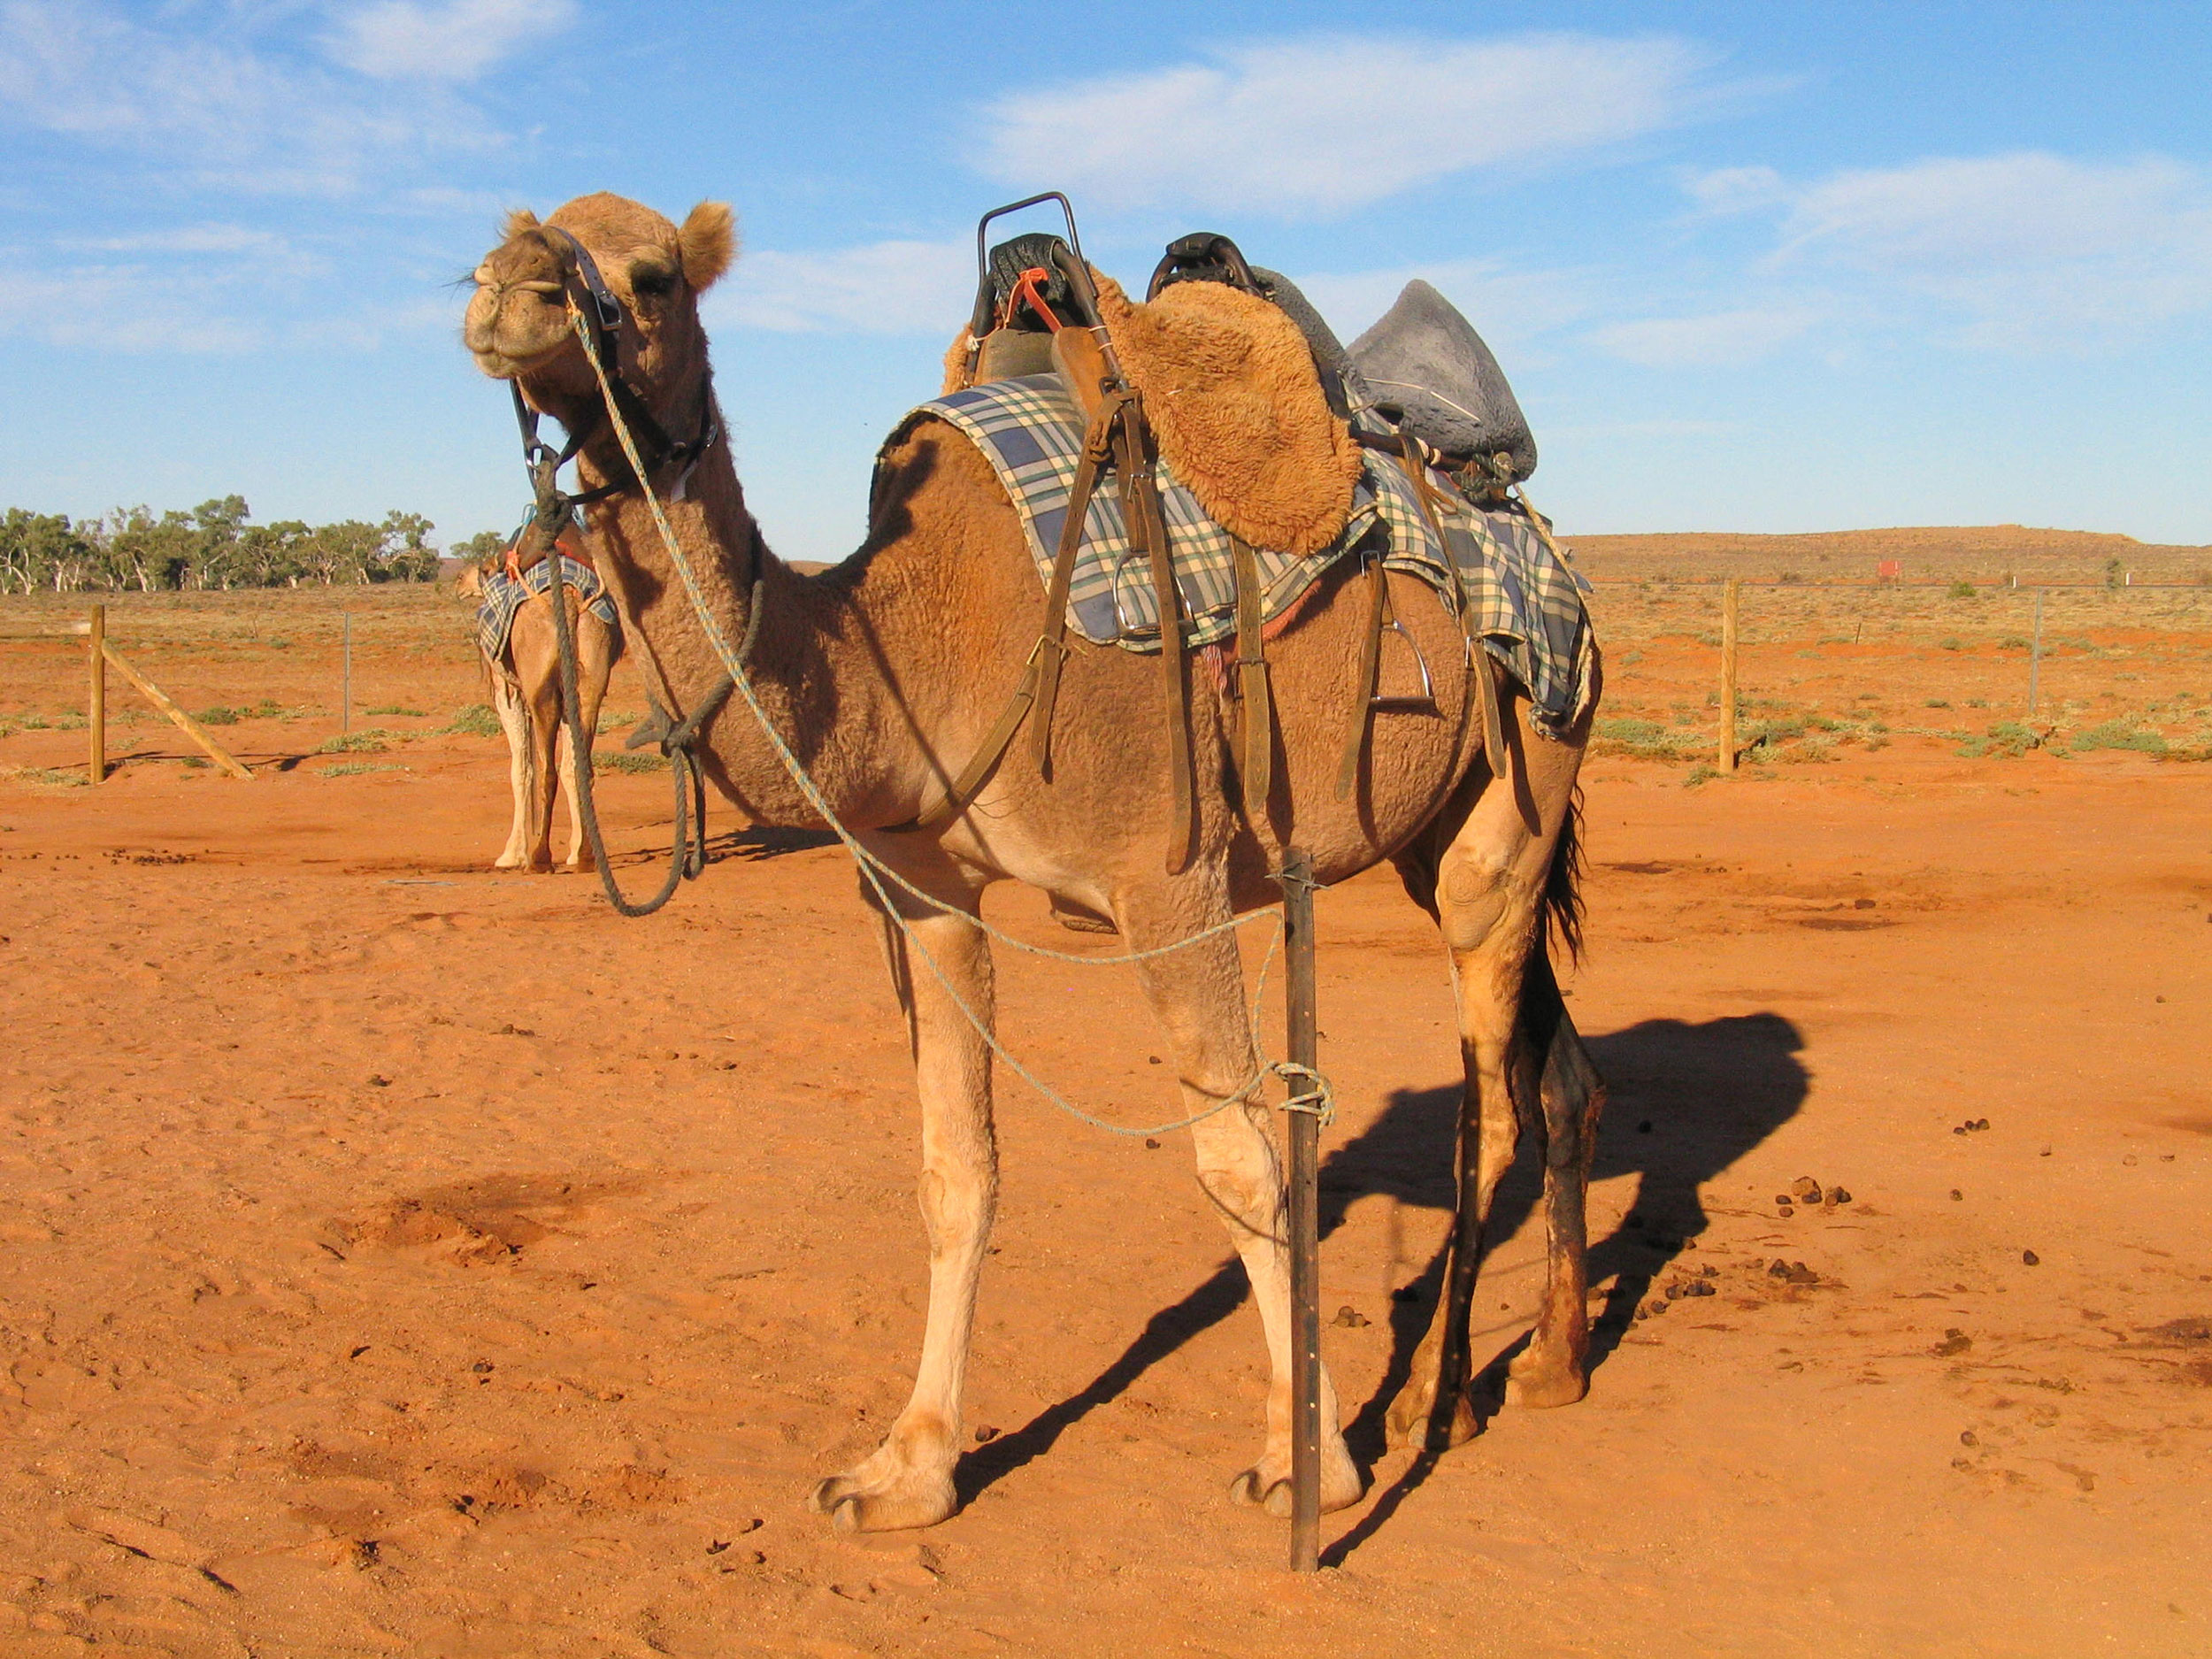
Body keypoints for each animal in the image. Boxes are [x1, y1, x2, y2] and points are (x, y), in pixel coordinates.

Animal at [456, 543, 620, 872]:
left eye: (478, 570)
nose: (457, 582)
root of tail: (570, 601)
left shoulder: (508, 691)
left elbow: (521, 769)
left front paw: (511, 854)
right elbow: (568, 767)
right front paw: (574, 850)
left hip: (540, 686)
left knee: (547, 770)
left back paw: (540, 856)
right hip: (590, 677)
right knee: (580, 766)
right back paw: (586, 856)